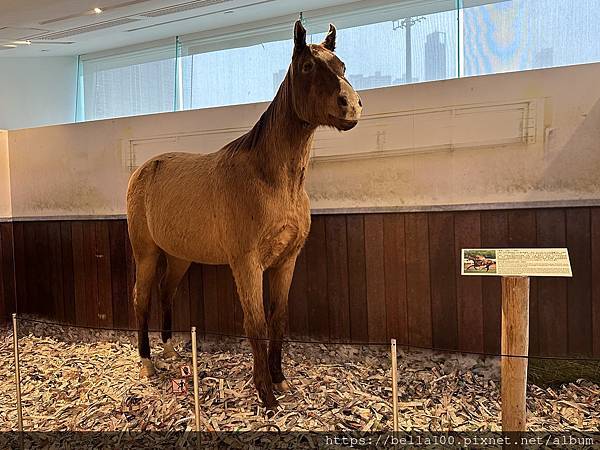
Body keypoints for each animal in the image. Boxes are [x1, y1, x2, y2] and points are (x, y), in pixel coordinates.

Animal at [126, 20, 360, 408]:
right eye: (308, 67)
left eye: (341, 66)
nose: (352, 106)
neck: (271, 180)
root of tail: (144, 169)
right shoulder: (247, 264)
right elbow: (256, 325)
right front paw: (266, 395)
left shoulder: (285, 261)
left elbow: (277, 320)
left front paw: (280, 380)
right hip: (146, 254)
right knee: (141, 298)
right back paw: (147, 363)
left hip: (178, 257)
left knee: (165, 291)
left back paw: (171, 350)